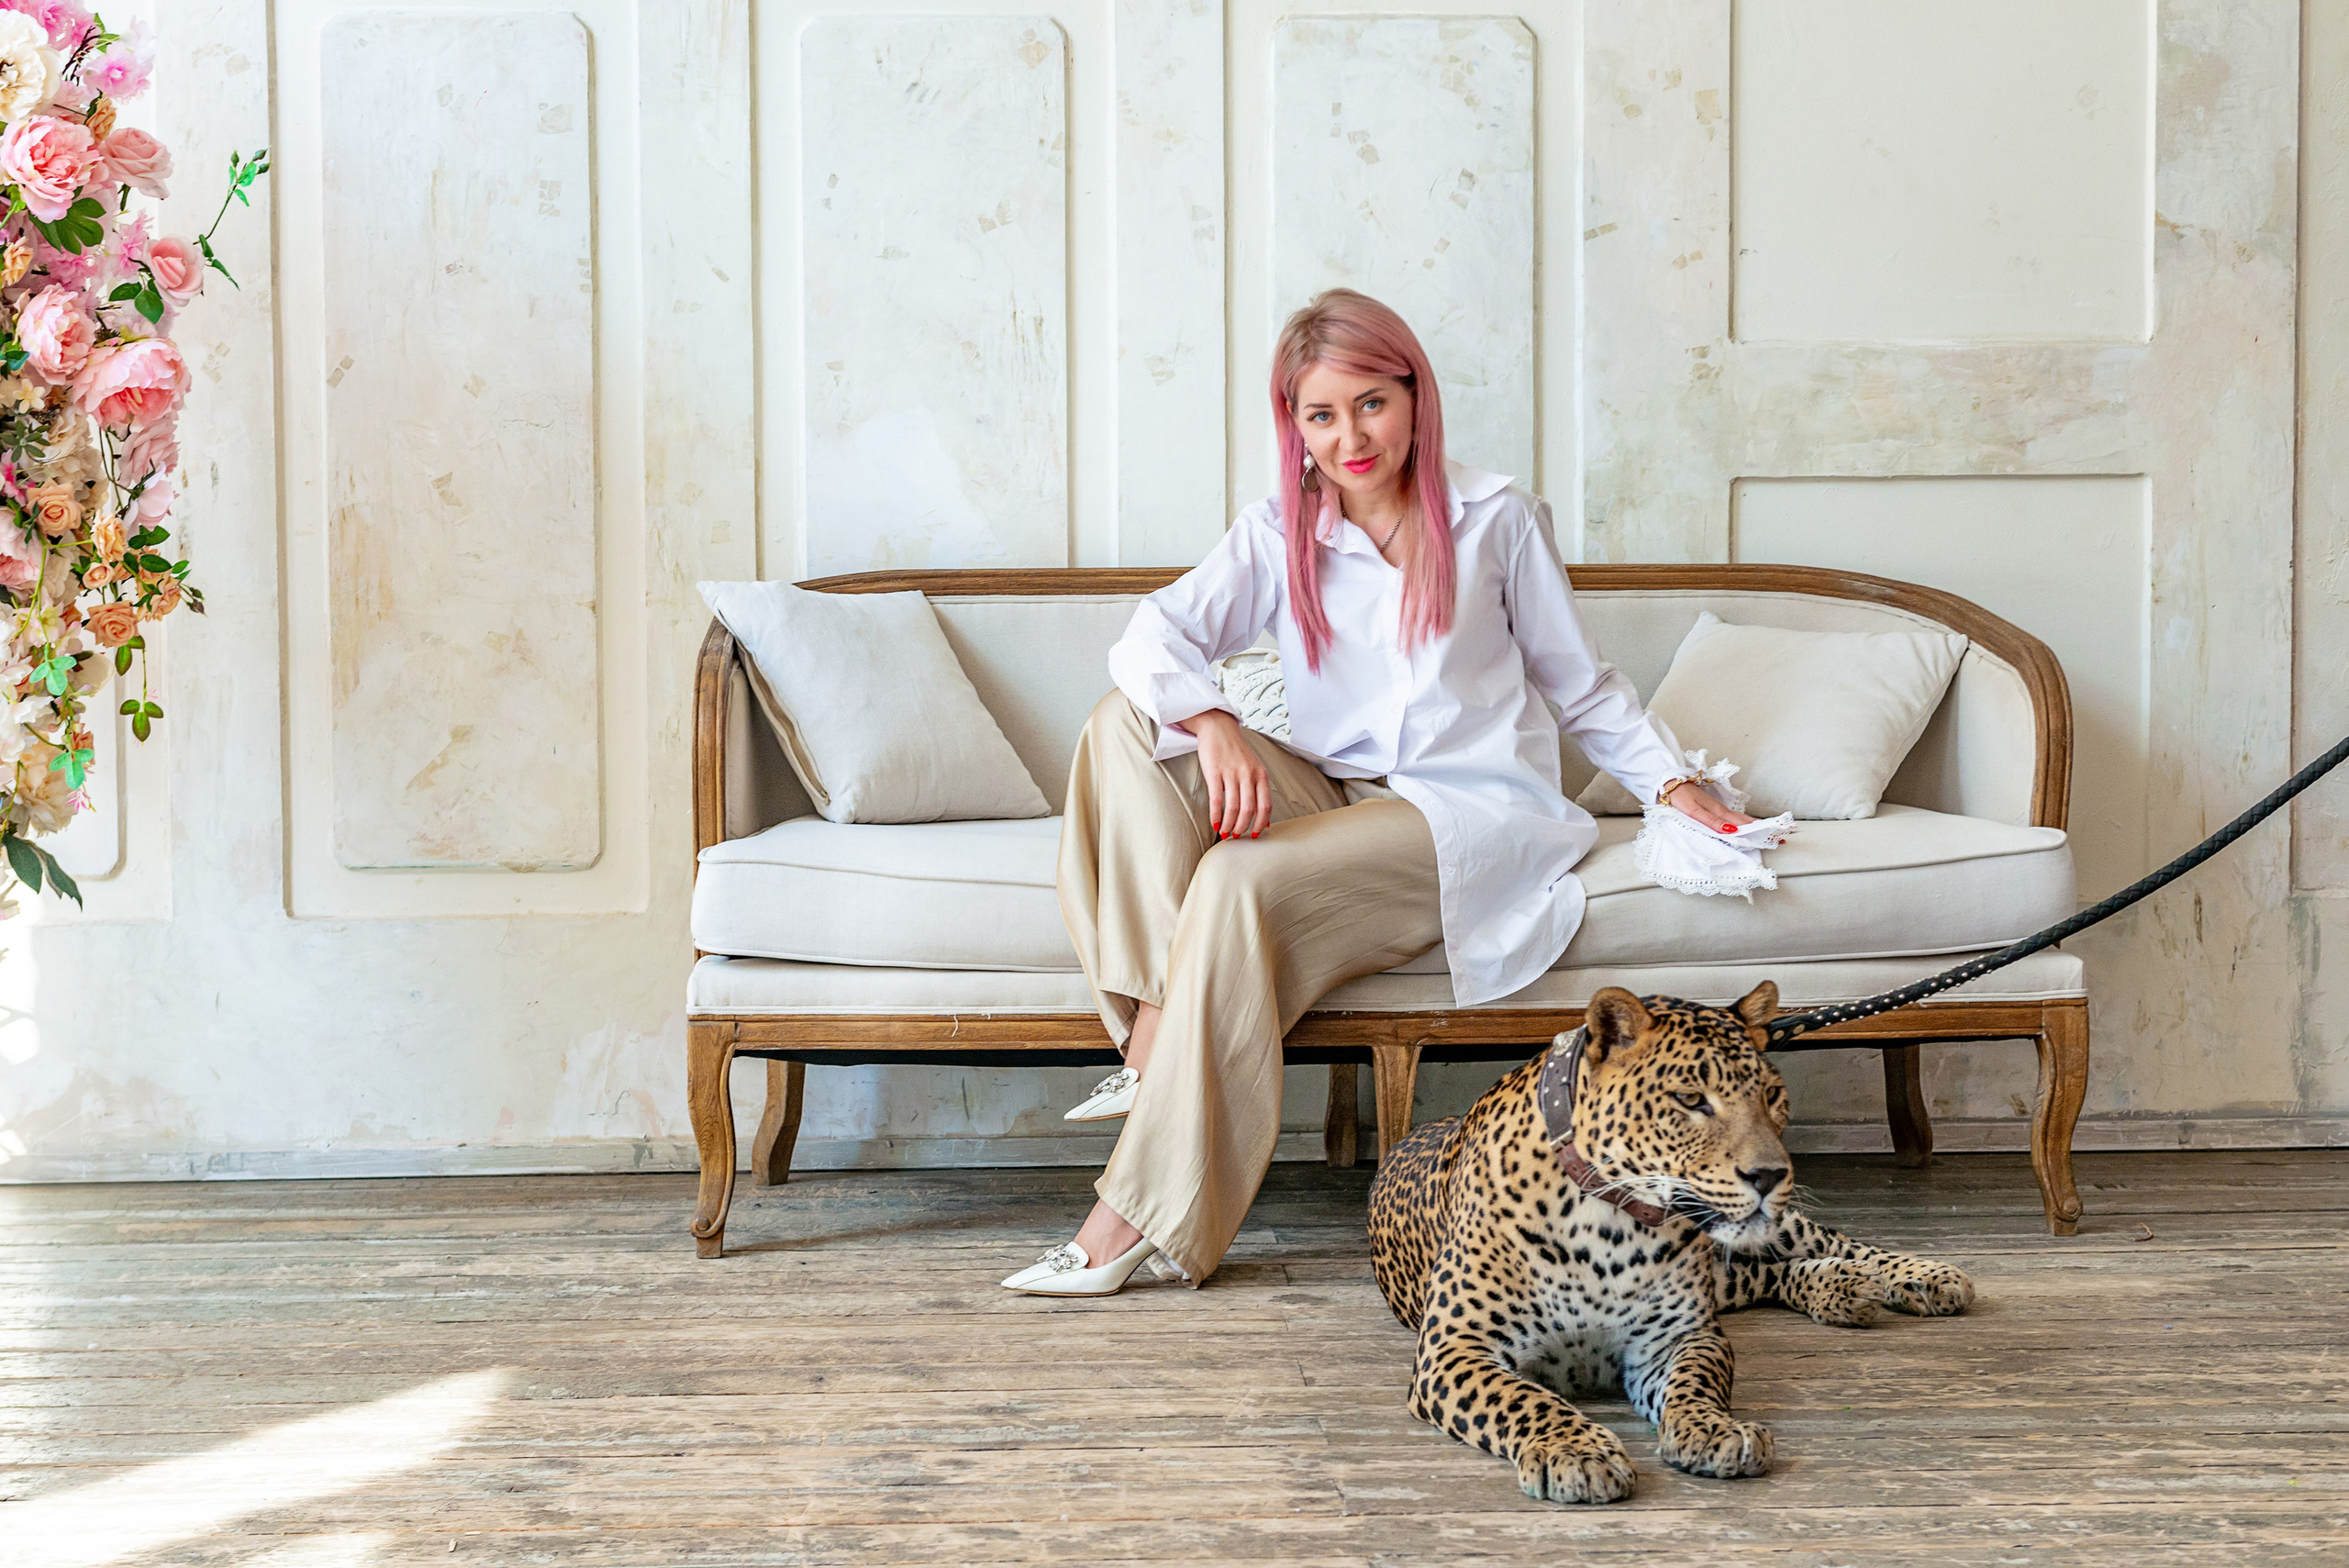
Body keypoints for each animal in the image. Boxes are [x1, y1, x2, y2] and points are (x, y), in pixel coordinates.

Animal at [1367, 981, 1975, 1504]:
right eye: (1690, 1098)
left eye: (1772, 1096)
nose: (1770, 1176)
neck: (1611, 1225)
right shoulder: (1455, 1348)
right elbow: (1524, 1399)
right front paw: (1577, 1453)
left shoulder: (1682, 1336)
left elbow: (1694, 1383)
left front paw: (1713, 1430)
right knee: (1761, 1274)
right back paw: (1841, 1288)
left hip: (1773, 1235)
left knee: (1826, 1246)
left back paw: (1920, 1278)